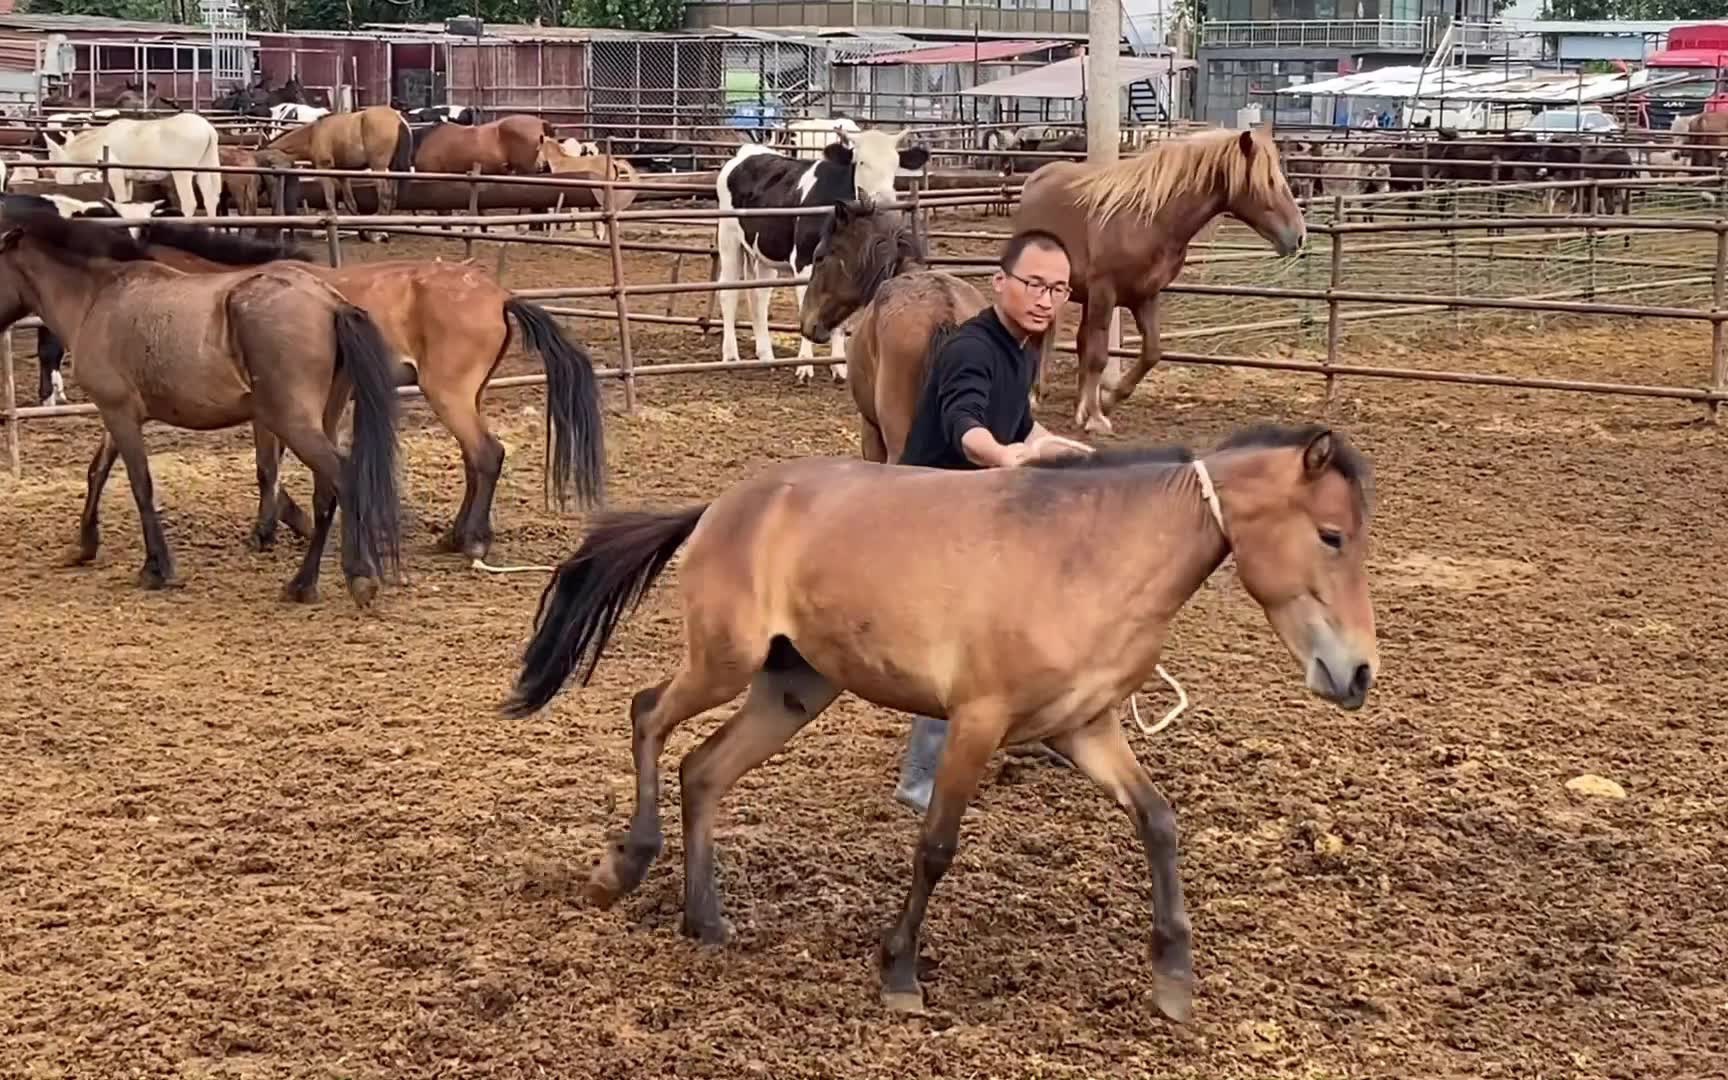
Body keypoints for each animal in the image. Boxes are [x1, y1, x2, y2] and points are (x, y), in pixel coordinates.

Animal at [0, 194, 404, 606]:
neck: (96, 296)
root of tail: (331, 303)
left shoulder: (119, 412)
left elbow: (140, 485)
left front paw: (156, 568)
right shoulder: (116, 414)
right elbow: (96, 473)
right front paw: (83, 547)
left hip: (292, 421)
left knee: (342, 479)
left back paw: (356, 577)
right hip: (322, 418)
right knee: (325, 494)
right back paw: (303, 584)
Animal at [42, 113, 222, 217]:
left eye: (55, 166)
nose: (58, 181)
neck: (99, 143)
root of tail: (208, 128)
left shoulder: (115, 174)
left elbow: (120, 200)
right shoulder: (127, 178)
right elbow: (127, 199)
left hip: (182, 172)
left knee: (190, 203)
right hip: (204, 168)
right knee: (210, 199)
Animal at [107, 216, 606, 559]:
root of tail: (499, 295)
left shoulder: (268, 409)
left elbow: (267, 468)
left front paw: (267, 532)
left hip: (448, 394)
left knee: (486, 454)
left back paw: (471, 543)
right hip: (469, 395)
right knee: (474, 460)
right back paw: (456, 535)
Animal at [499, 422, 1379, 1018]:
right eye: (1331, 535)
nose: (1358, 674)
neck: (1087, 556)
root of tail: (724, 504)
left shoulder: (1086, 728)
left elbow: (1159, 823)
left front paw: (1172, 979)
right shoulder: (977, 722)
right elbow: (936, 846)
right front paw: (898, 974)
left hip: (793, 688)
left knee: (703, 769)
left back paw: (705, 920)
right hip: (726, 661)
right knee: (648, 715)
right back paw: (624, 867)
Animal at [1012, 127, 1307, 434]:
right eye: (1269, 181)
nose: (1299, 237)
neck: (1149, 218)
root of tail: (1036, 178)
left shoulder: (1145, 296)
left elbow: (1151, 352)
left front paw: (1104, 402)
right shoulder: (1105, 293)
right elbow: (1098, 355)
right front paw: (1095, 417)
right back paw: (1035, 396)